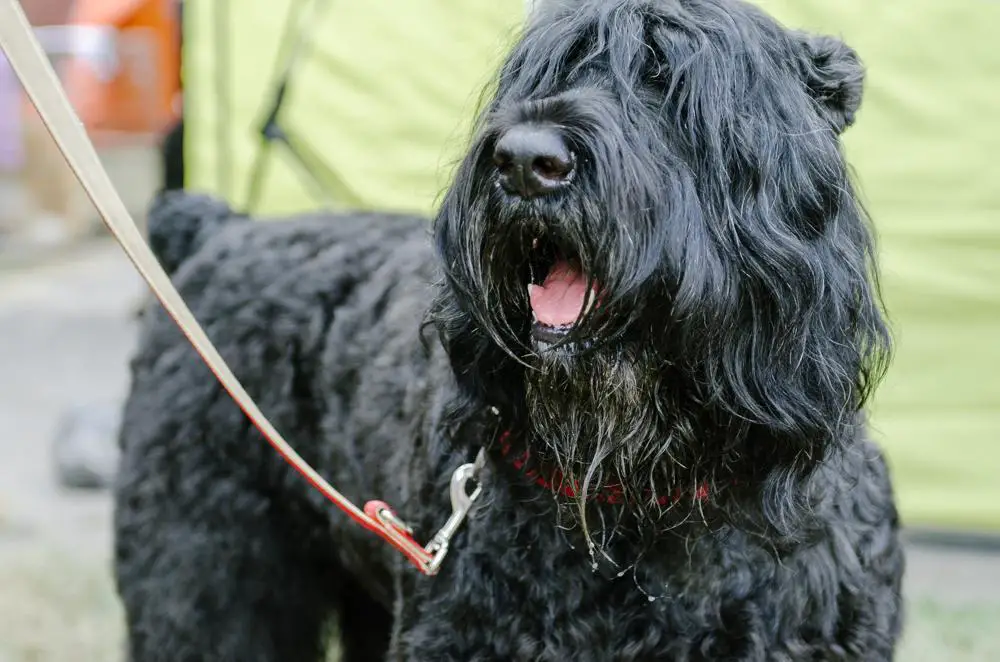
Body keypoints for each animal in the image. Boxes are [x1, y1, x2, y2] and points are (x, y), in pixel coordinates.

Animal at [115, 1, 908, 662]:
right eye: (542, 72)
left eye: (667, 81)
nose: (525, 160)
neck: (650, 500)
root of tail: (220, 232)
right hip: (205, 573)